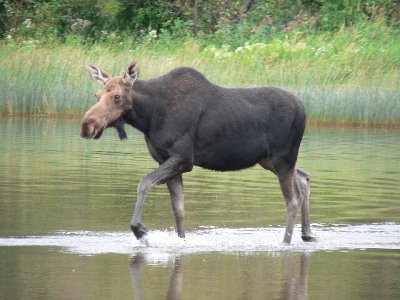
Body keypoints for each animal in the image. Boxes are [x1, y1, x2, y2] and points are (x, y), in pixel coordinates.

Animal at [81, 61, 318, 244]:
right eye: (97, 95)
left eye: (117, 96)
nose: (87, 125)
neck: (149, 117)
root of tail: (304, 110)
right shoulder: (166, 160)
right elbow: (179, 210)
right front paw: (181, 239)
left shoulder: (183, 159)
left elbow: (144, 183)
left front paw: (140, 230)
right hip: (268, 160)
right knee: (303, 176)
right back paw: (307, 233)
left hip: (283, 157)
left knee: (292, 200)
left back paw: (286, 242)